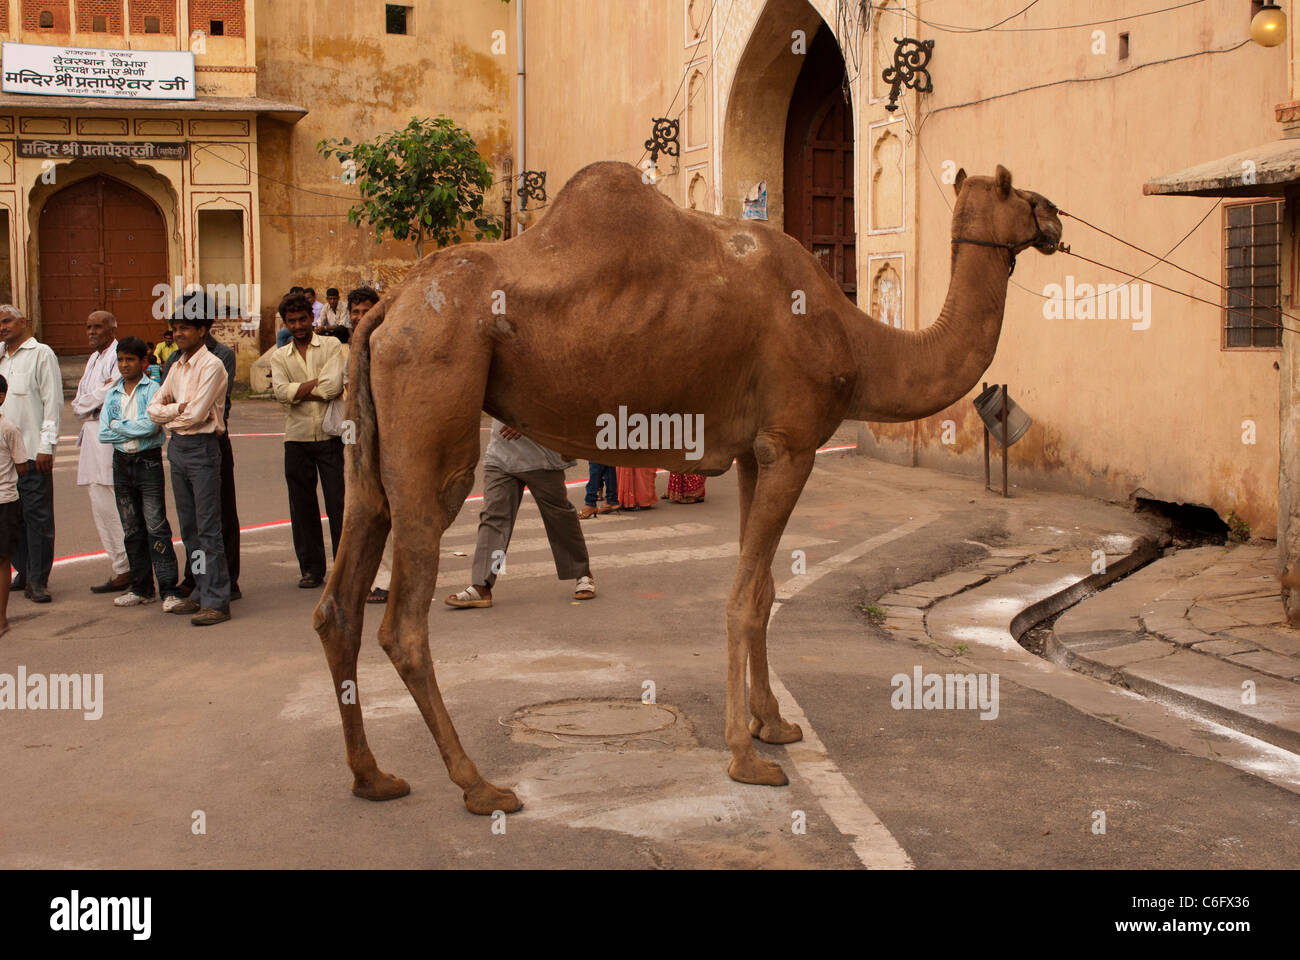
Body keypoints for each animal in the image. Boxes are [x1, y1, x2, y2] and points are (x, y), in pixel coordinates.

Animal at [312, 160, 1055, 811]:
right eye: (1020, 192)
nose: (1054, 220)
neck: (858, 342)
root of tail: (389, 306)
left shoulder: (759, 451)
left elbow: (764, 587)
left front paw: (772, 724)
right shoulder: (792, 444)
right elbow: (745, 597)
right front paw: (747, 756)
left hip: (374, 441)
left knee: (341, 598)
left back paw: (372, 776)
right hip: (434, 386)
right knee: (405, 619)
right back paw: (479, 786)